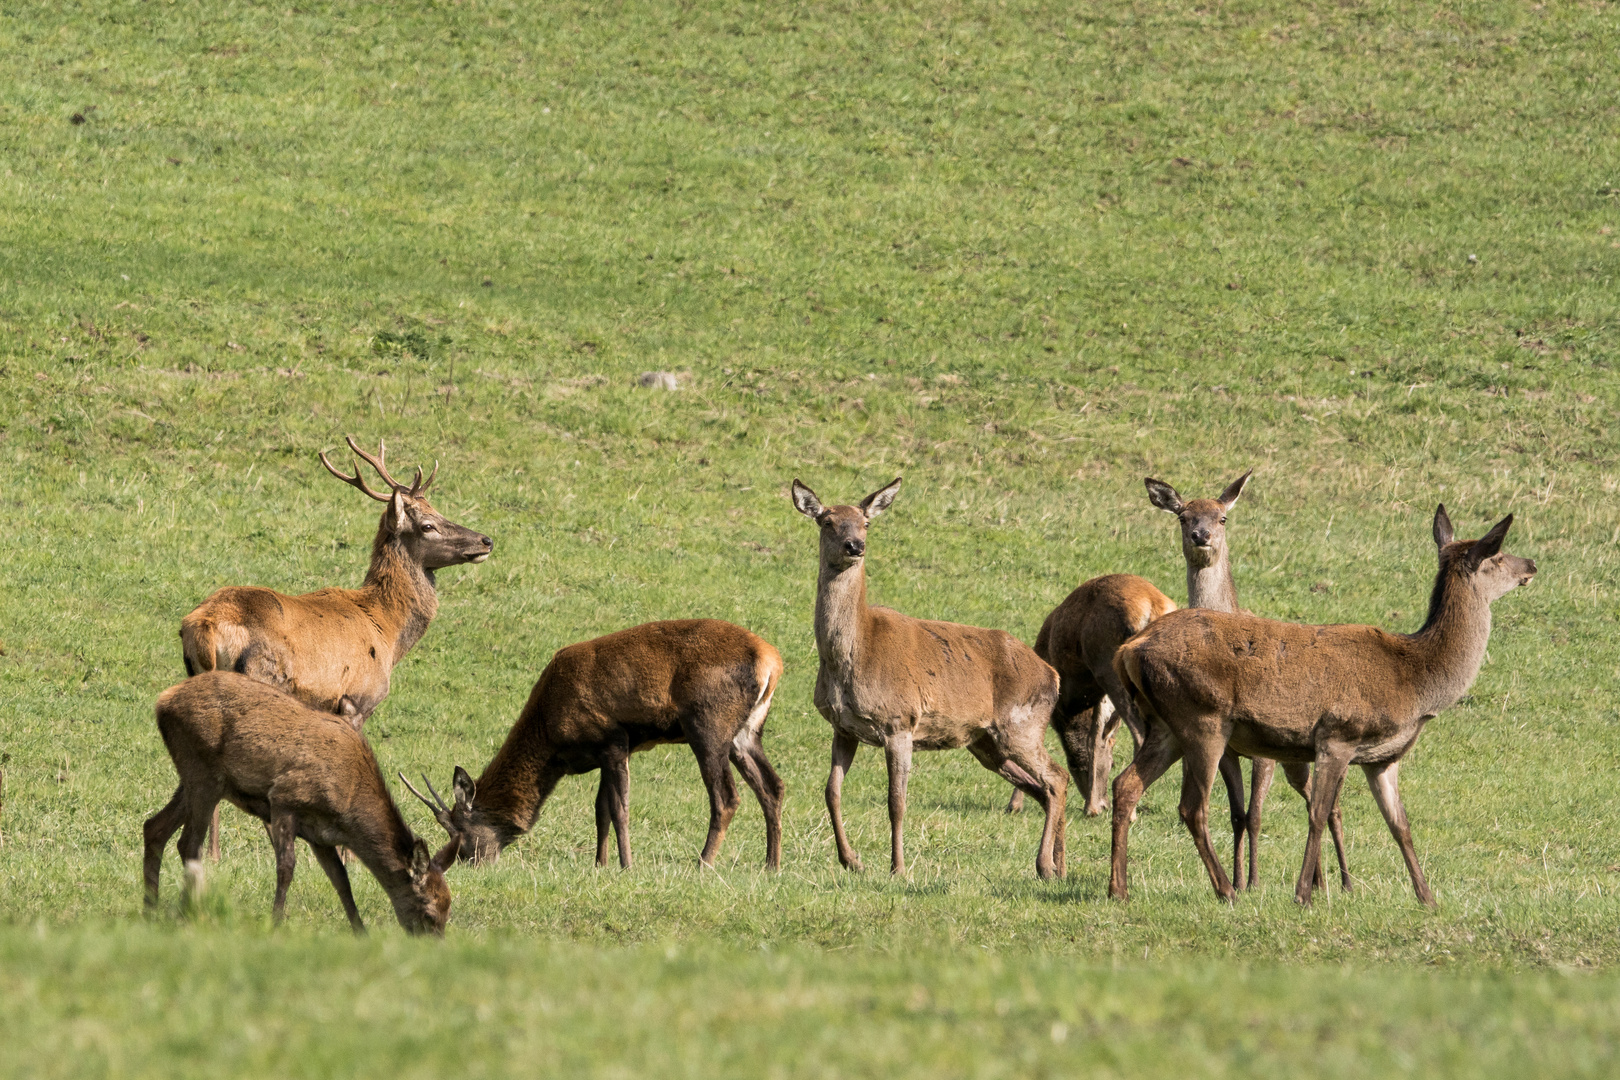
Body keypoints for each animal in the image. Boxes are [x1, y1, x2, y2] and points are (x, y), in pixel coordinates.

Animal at [143, 670, 453, 932]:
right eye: (429, 913)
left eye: (447, 910)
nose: (434, 946)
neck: (348, 804)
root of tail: (161, 701)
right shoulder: (284, 798)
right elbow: (287, 868)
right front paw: (276, 923)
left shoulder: (321, 835)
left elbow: (341, 880)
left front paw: (360, 931)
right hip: (202, 771)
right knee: (188, 843)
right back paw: (188, 913)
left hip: (196, 778)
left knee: (154, 827)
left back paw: (151, 908)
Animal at [179, 433, 489, 854]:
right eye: (428, 524)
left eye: (440, 510)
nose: (486, 540)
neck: (387, 630)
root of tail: (206, 624)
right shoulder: (356, 700)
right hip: (259, 683)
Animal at [408, 621, 780, 874]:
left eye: (461, 833)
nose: (471, 864)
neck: (552, 739)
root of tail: (772, 661)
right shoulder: (604, 752)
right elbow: (600, 808)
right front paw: (600, 865)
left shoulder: (613, 740)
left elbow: (620, 809)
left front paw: (626, 866)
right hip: (746, 732)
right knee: (772, 786)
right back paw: (771, 865)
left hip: (708, 724)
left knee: (726, 797)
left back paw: (702, 865)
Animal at [790, 479, 1069, 880]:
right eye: (827, 521)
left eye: (866, 523)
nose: (854, 546)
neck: (853, 656)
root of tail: (1053, 674)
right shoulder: (843, 727)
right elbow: (831, 791)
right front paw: (851, 859)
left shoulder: (899, 722)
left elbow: (897, 801)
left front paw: (898, 867)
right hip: (986, 743)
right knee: (1043, 788)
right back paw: (1059, 866)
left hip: (1022, 725)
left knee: (1056, 778)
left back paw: (1045, 865)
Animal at [1108, 505, 1535, 906]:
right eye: (1497, 554)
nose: (1530, 564)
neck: (1415, 681)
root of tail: (1129, 649)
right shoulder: (1338, 734)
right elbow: (1318, 812)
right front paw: (1304, 894)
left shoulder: (1382, 759)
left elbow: (1400, 825)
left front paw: (1427, 897)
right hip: (1202, 718)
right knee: (1192, 807)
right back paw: (1227, 890)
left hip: (1165, 725)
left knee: (1125, 784)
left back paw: (1119, 889)